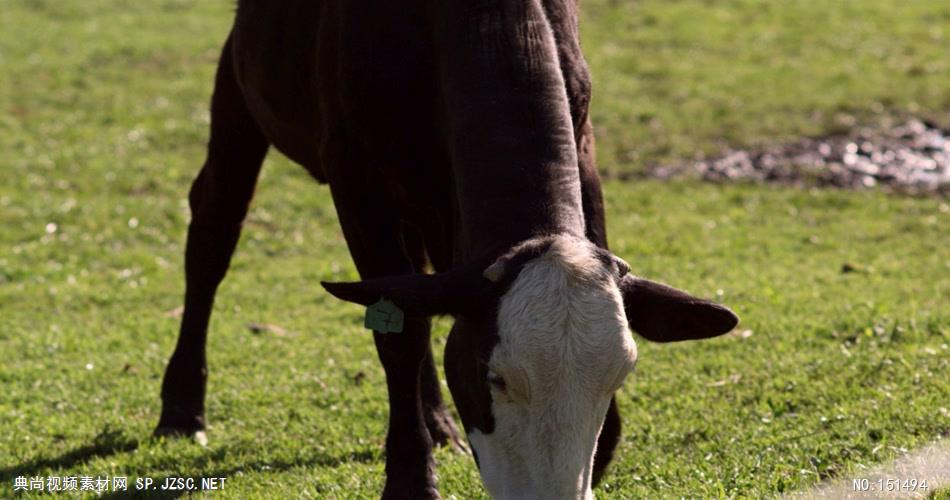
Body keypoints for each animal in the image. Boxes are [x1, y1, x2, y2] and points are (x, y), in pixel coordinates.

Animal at [156, 1, 740, 498]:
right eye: (494, 378)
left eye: (618, 377)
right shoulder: (357, 181)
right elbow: (398, 337)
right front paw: (411, 481)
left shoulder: (583, 140)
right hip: (238, 94)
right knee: (212, 234)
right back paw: (182, 410)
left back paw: (438, 421)